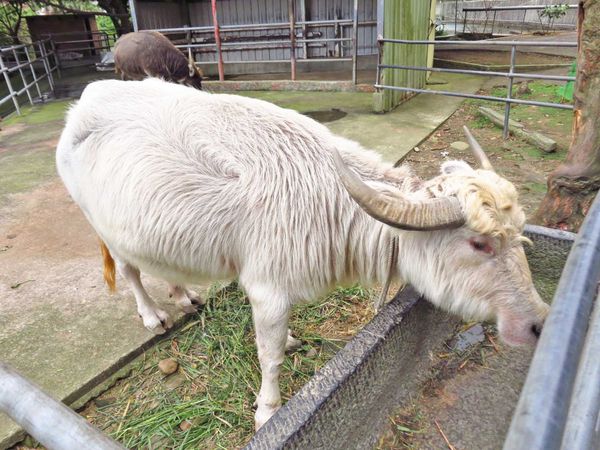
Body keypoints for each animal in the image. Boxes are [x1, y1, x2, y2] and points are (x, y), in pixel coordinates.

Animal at [56, 78, 548, 428]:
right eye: (479, 243)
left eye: (520, 235)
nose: (538, 323)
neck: (325, 195)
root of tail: (84, 103)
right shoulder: (267, 289)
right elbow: (269, 356)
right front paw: (267, 411)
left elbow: (278, 341)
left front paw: (292, 340)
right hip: (100, 225)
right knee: (130, 271)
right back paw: (153, 315)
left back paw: (184, 294)